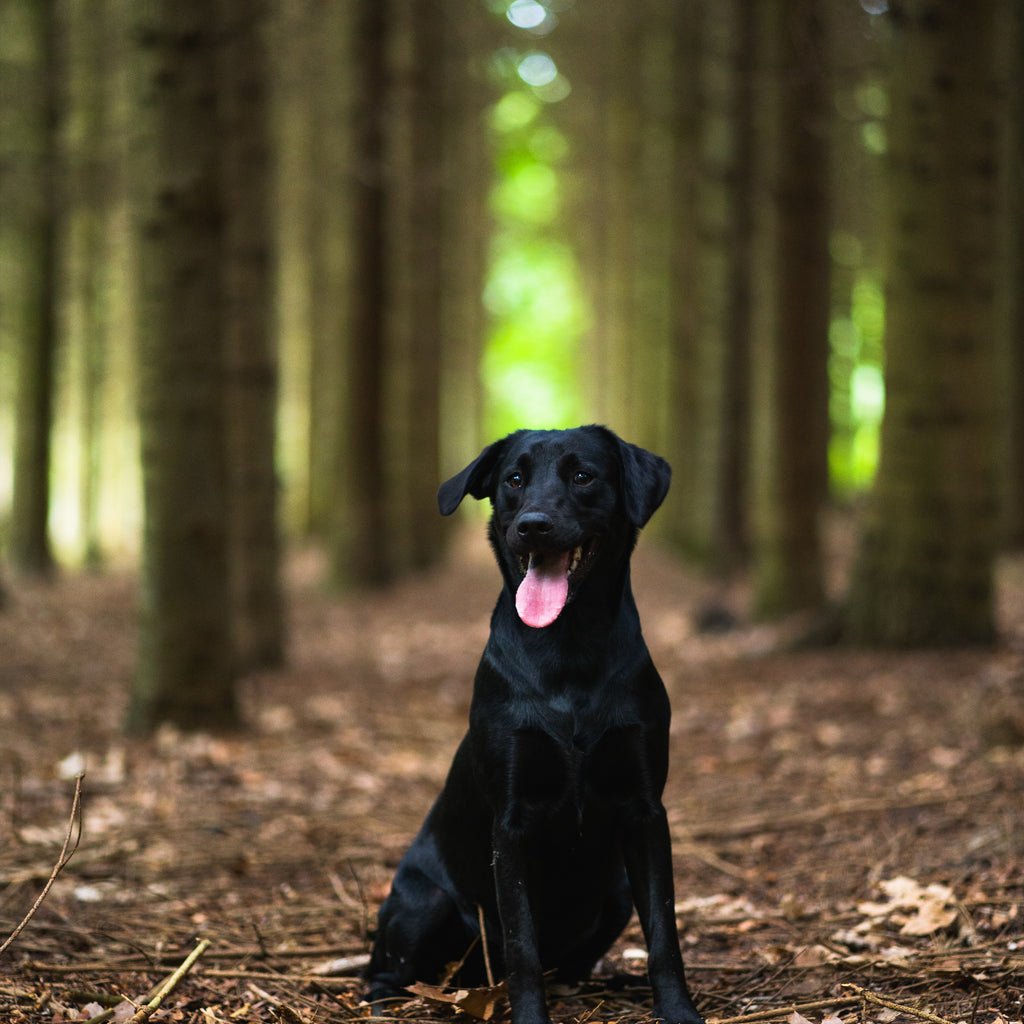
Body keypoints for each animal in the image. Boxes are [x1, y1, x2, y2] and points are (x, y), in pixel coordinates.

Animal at [366, 423, 704, 1024]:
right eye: (514, 480)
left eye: (583, 475)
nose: (533, 525)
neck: (568, 649)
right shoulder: (512, 821)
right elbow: (522, 946)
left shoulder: (645, 810)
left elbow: (664, 933)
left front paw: (678, 1011)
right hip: (424, 903)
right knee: (387, 971)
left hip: (616, 892)